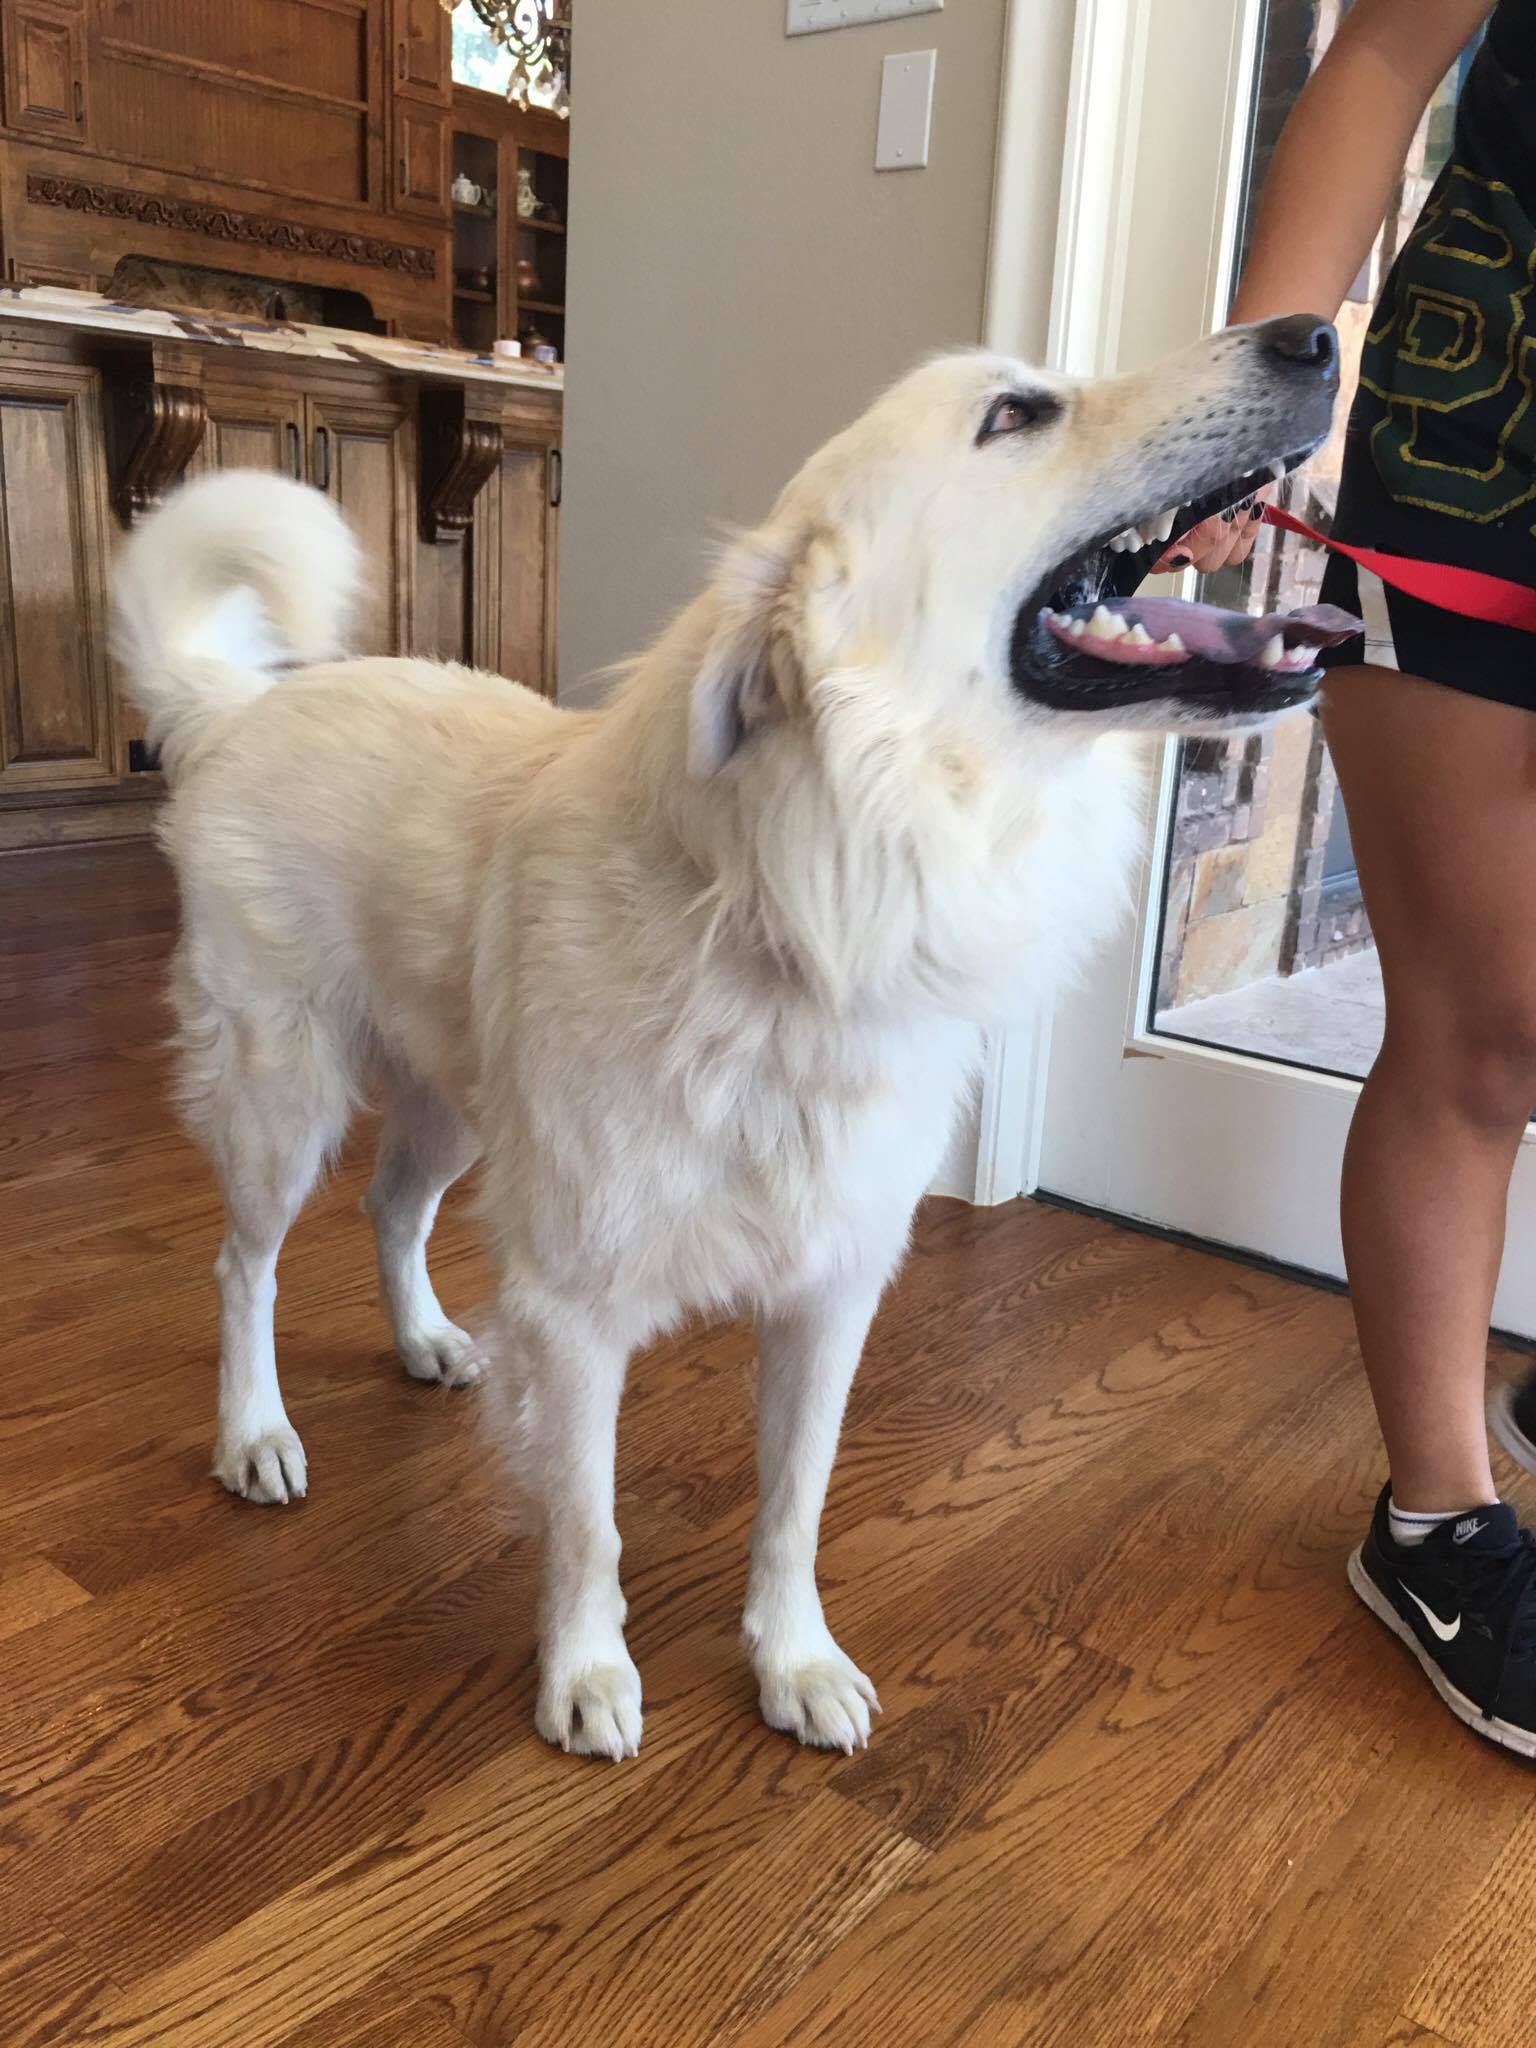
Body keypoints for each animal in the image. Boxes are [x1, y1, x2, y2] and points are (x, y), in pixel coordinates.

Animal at [117, 319, 1343, 1761]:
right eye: (1015, 414)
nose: (1314, 336)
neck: (806, 905)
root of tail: (243, 706)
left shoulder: (830, 1293)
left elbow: (792, 1507)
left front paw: (793, 1661)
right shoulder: (574, 1308)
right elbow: (587, 1526)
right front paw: (586, 1675)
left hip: (458, 1108)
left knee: (390, 1209)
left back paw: (424, 1341)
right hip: (281, 1095)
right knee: (243, 1266)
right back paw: (253, 1433)